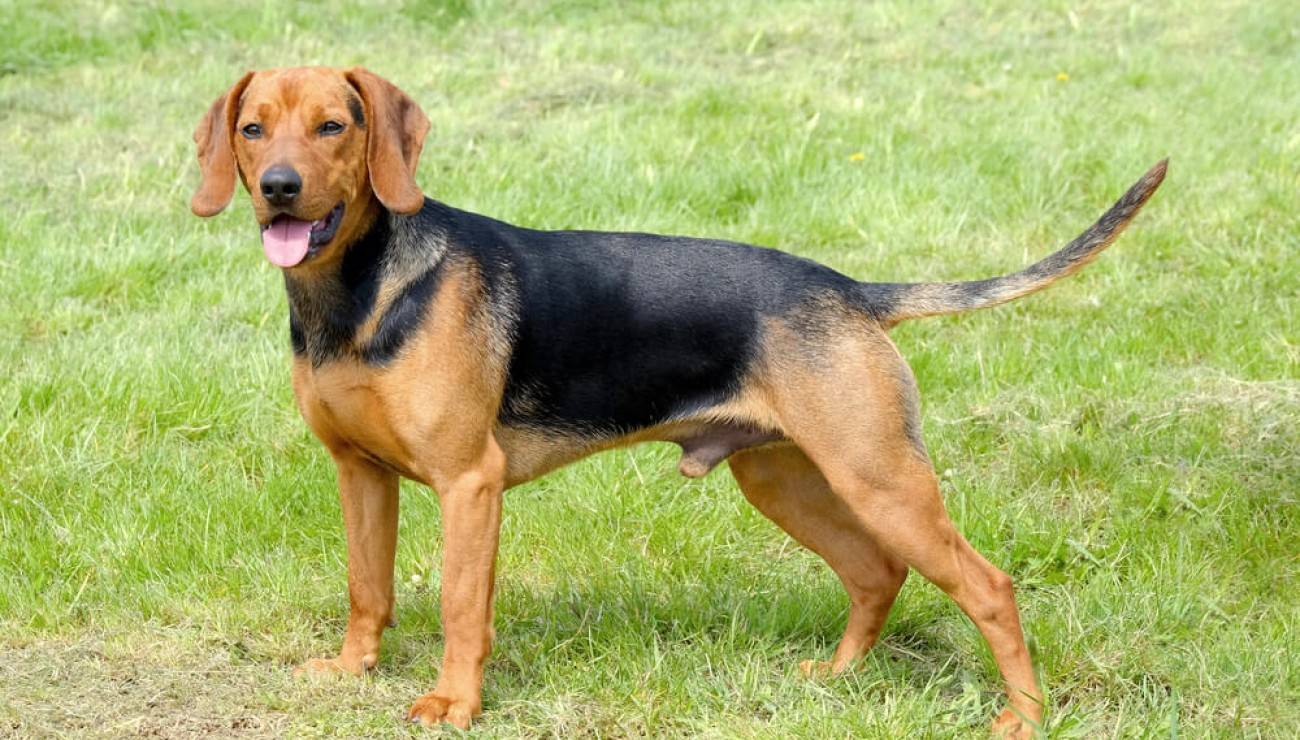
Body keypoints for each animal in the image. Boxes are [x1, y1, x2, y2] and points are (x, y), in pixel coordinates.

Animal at [189, 67, 1170, 733]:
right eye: (253, 129)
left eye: (333, 126)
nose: (279, 188)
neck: (355, 295)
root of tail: (851, 291)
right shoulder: (360, 473)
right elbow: (369, 588)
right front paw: (353, 670)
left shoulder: (471, 483)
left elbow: (464, 610)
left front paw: (454, 703)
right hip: (787, 479)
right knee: (874, 574)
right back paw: (840, 679)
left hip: (880, 477)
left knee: (989, 587)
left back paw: (1022, 717)